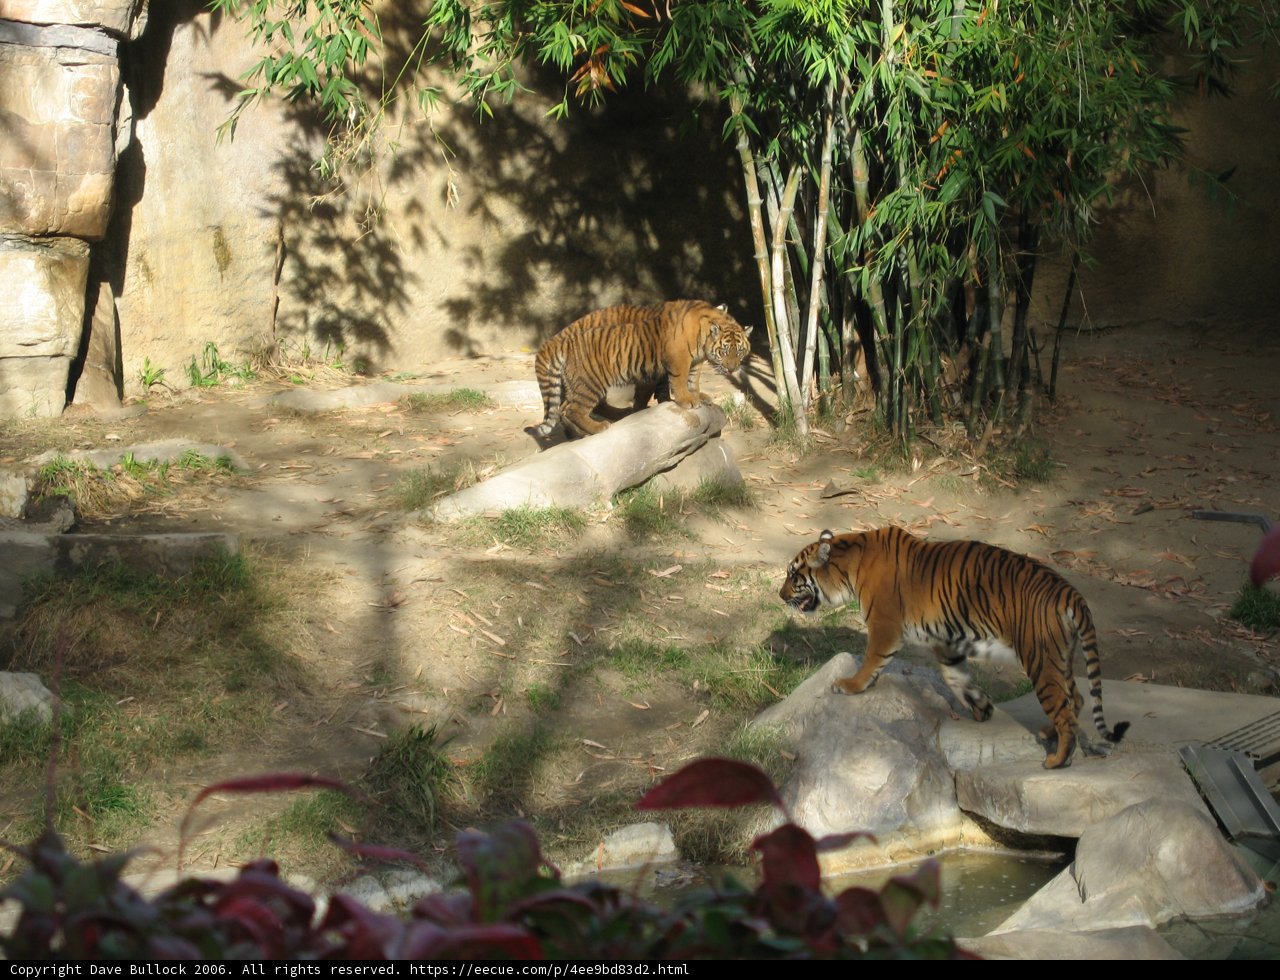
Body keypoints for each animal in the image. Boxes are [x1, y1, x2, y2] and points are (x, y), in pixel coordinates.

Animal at [527, 299, 752, 440]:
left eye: (740, 351)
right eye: (724, 351)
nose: (732, 369)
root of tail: (563, 338)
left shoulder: (694, 362)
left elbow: (692, 380)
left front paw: (697, 396)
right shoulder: (678, 358)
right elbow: (678, 382)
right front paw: (686, 401)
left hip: (579, 384)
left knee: (566, 407)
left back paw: (583, 431)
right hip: (591, 383)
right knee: (574, 408)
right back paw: (599, 427)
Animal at [779, 526, 1129, 769]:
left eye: (794, 575)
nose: (781, 596)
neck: (850, 559)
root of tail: (1071, 593)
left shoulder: (884, 625)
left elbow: (871, 660)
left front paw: (850, 685)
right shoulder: (946, 642)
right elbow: (954, 676)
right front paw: (982, 707)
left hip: (1040, 658)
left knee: (1066, 711)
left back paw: (1056, 760)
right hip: (1060, 656)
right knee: (1077, 698)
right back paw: (1047, 734)